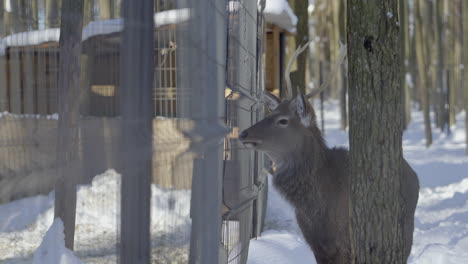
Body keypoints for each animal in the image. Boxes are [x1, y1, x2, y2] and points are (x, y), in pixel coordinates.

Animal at [238, 42, 420, 262]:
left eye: (283, 120)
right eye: (270, 113)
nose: (243, 133)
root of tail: (413, 173)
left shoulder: (346, 242)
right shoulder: (317, 243)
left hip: (406, 230)